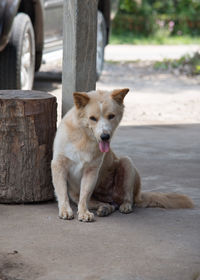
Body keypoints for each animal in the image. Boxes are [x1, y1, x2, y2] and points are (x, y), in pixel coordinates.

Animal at [51, 88, 194, 222]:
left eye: (111, 116)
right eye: (92, 118)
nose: (105, 136)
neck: (83, 138)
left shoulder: (91, 170)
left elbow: (84, 195)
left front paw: (83, 212)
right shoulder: (58, 165)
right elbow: (63, 193)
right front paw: (65, 211)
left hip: (127, 163)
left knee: (127, 198)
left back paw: (124, 206)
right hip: (79, 194)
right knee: (106, 204)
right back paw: (104, 209)